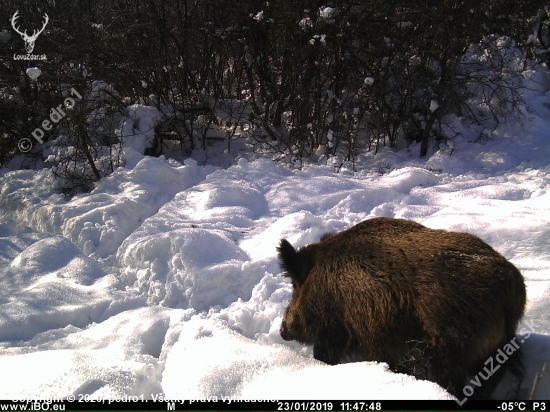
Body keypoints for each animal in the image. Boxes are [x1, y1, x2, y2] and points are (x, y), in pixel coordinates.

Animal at [278, 217, 528, 398]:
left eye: (294, 286)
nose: (282, 331)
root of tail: (513, 286)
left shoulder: (336, 331)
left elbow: (323, 355)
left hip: (452, 349)